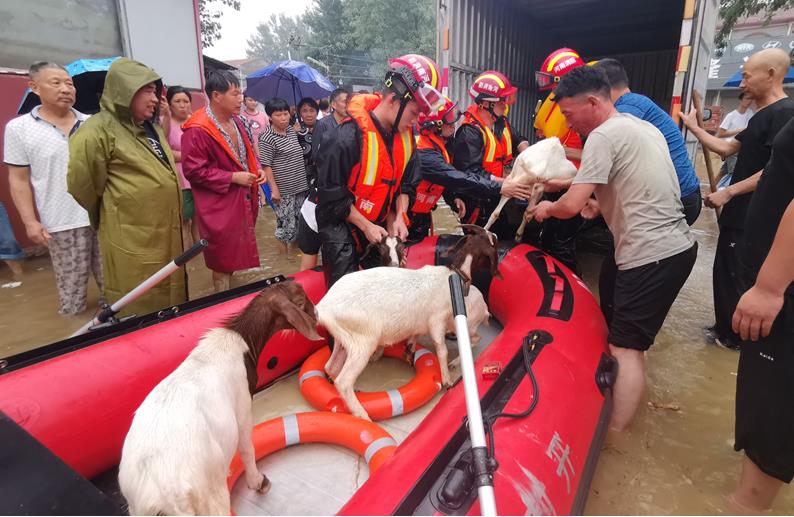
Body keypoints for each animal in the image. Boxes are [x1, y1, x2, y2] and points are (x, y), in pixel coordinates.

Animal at [117, 282, 318, 516]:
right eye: (300, 302)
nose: (318, 315)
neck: (238, 339)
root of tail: (164, 498)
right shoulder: (242, 406)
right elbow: (247, 448)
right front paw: (258, 482)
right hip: (212, 496)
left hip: (138, 507)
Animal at [314, 226, 496, 420]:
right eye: (492, 242)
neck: (452, 275)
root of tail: (323, 307)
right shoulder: (437, 320)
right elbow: (442, 350)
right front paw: (447, 380)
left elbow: (414, 338)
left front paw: (409, 352)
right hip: (362, 341)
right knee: (343, 381)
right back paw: (363, 415)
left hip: (343, 339)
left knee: (331, 367)